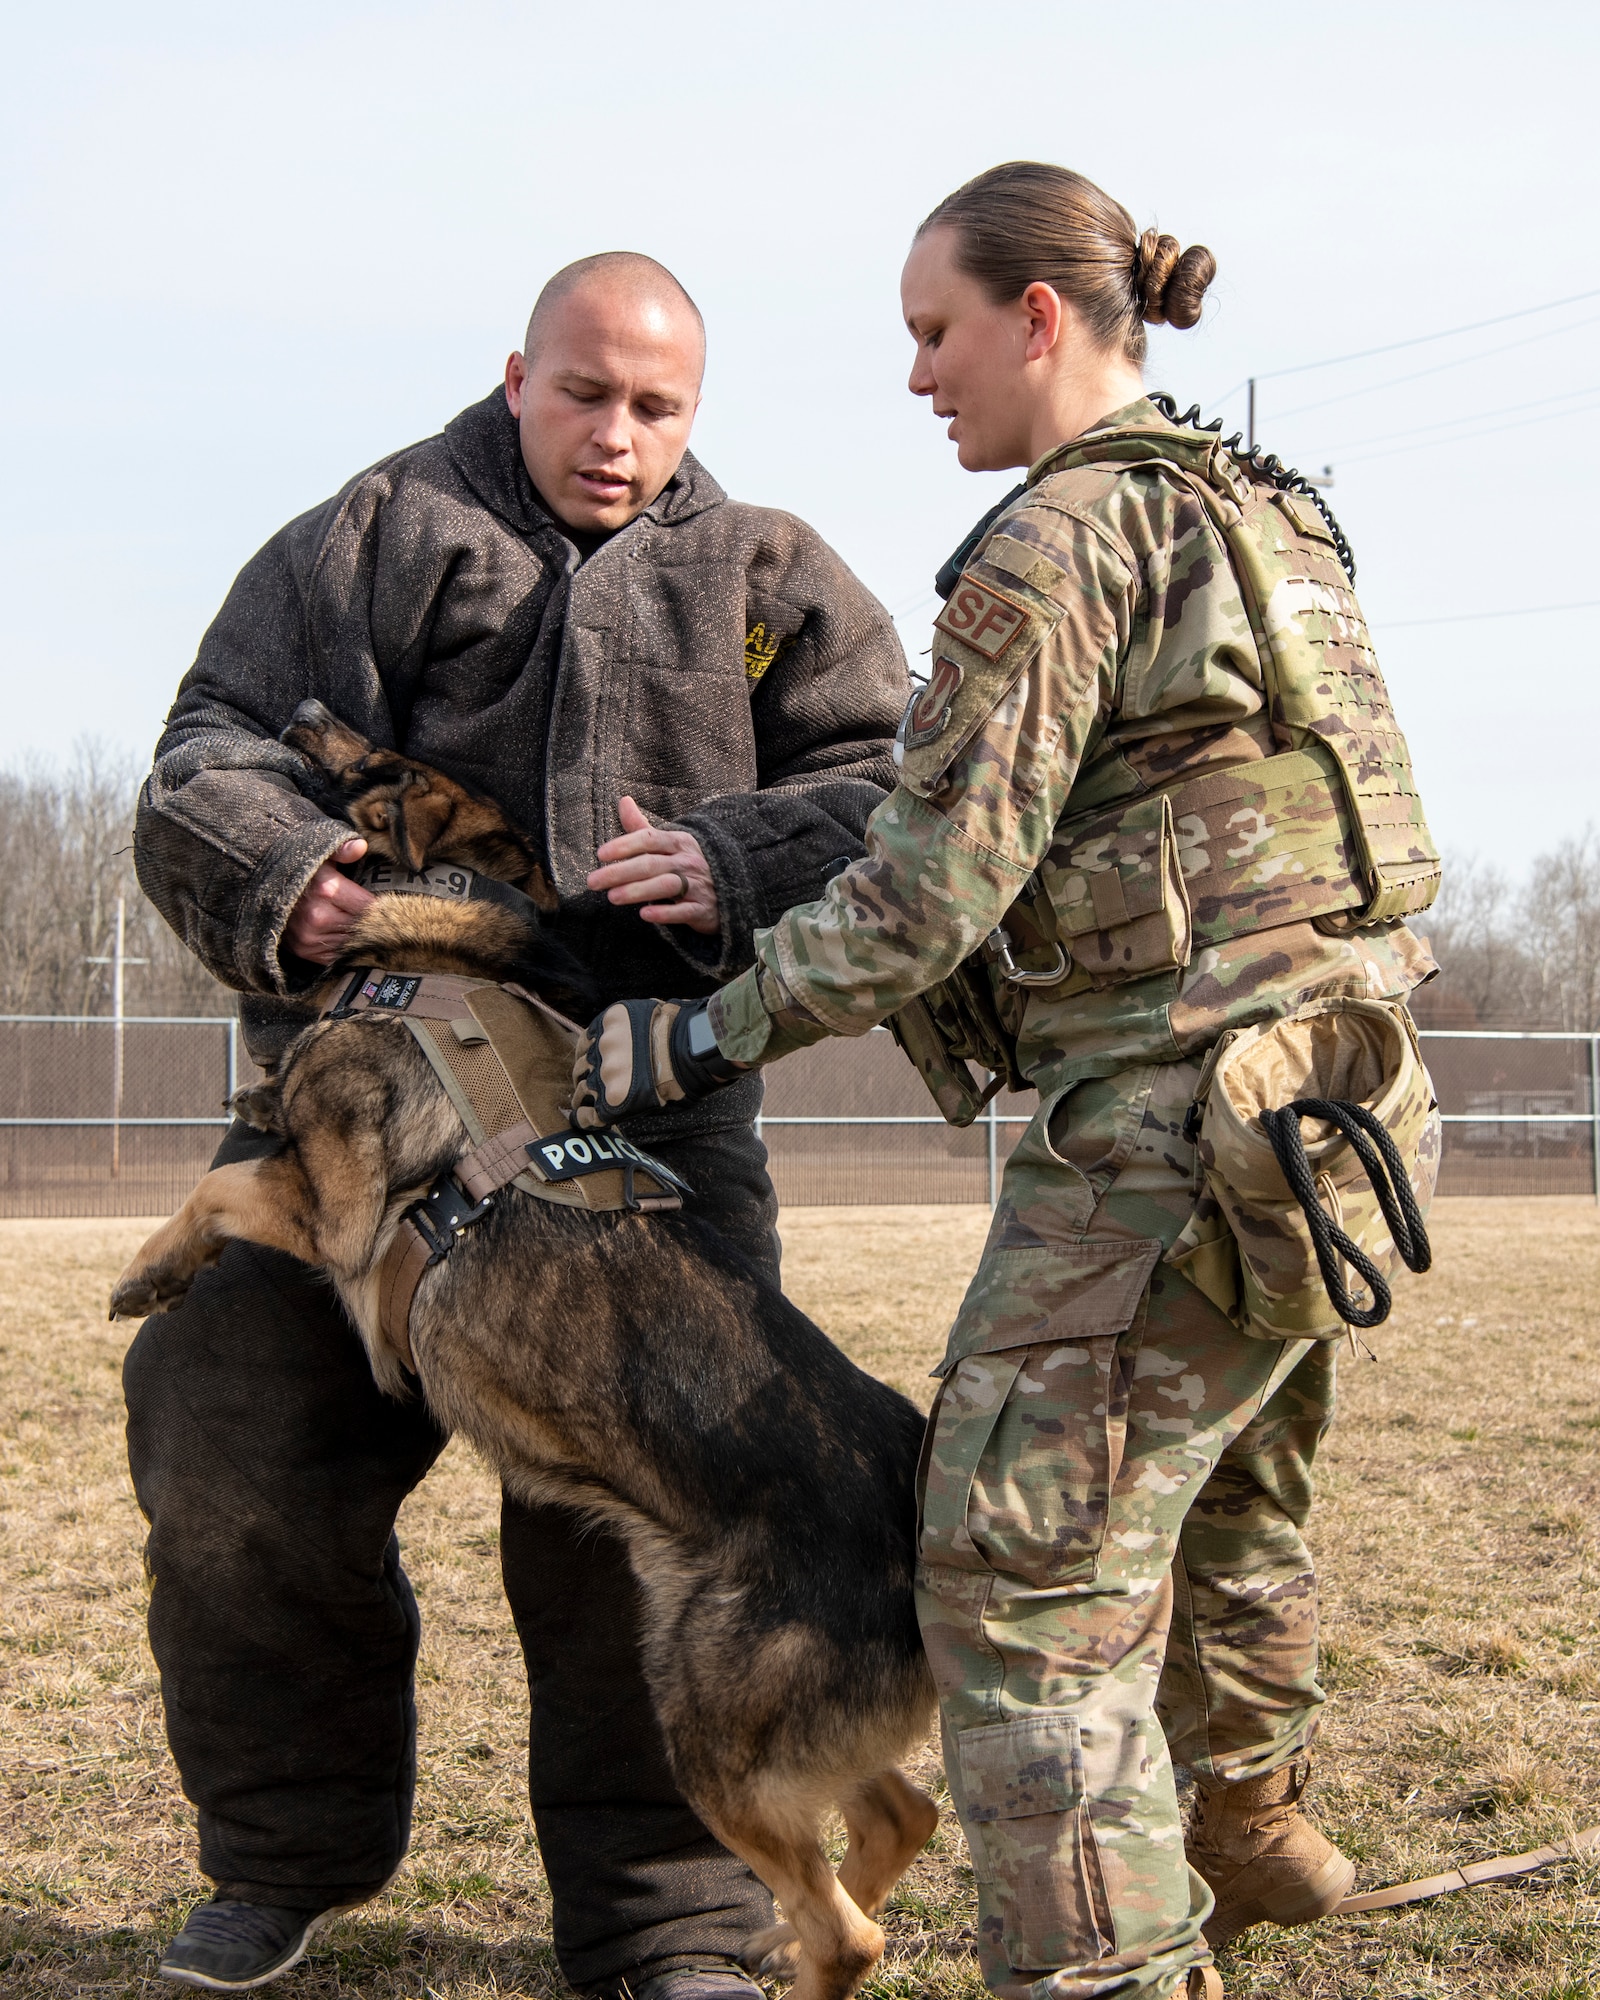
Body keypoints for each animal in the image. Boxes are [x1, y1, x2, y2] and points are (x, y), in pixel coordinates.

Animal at [112, 708, 944, 2000]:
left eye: (385, 765)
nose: (304, 713)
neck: (450, 930)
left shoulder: (339, 1213)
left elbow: (222, 1185)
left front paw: (150, 1271)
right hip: (769, 1731)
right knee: (902, 1820)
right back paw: (780, 1930)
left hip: (710, 1732)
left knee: (849, 1929)